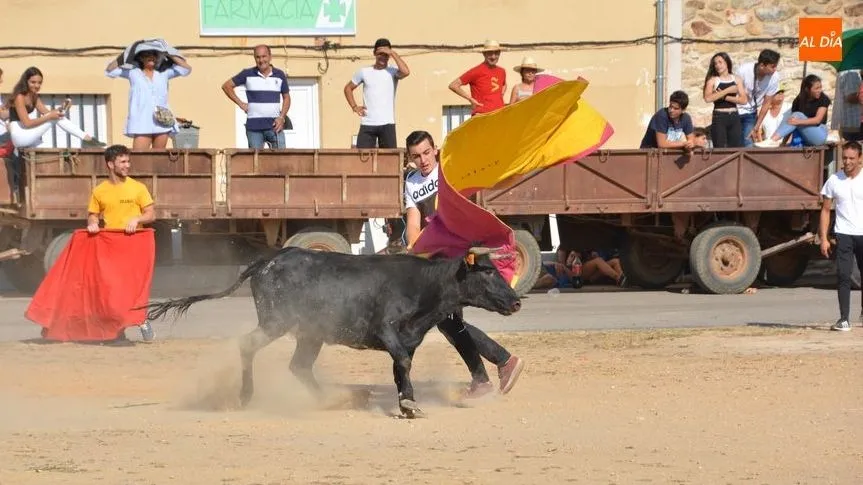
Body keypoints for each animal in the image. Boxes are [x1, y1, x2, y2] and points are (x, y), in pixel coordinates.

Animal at [143, 245, 521, 418]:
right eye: (488, 272)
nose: (517, 301)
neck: (425, 285)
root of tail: (266, 261)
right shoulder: (386, 330)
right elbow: (401, 362)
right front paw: (410, 405)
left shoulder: (410, 340)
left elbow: (401, 368)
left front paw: (407, 403)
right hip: (275, 322)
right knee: (248, 346)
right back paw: (246, 396)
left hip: (310, 334)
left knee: (298, 366)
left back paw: (333, 398)